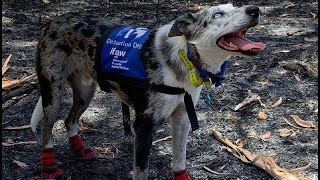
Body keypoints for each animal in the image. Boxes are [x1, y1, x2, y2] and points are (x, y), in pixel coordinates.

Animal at [30, 3, 264, 179]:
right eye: (218, 14)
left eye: (234, 6)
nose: (255, 9)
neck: (185, 57)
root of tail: (55, 20)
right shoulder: (144, 127)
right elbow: (141, 171)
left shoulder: (182, 118)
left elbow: (179, 161)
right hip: (52, 93)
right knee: (47, 130)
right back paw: (49, 167)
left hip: (85, 93)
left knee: (69, 119)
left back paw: (79, 149)